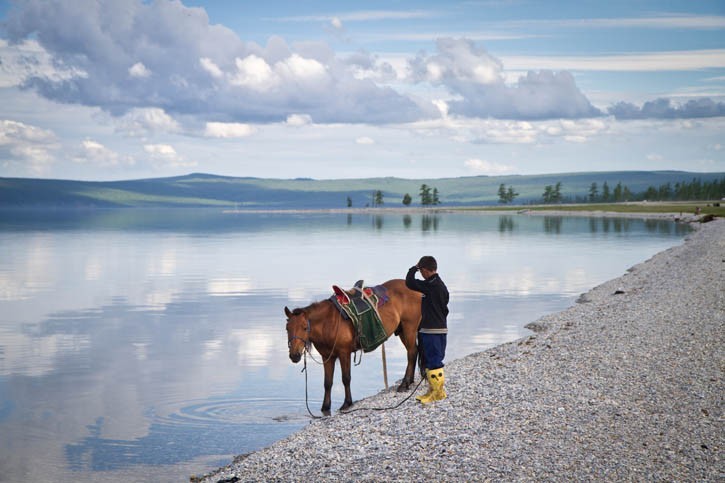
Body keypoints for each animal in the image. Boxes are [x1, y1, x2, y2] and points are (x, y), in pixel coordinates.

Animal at [282, 280, 418, 416]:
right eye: (287, 328)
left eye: (305, 328)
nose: (294, 355)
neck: (327, 323)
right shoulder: (327, 357)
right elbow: (327, 383)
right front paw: (325, 407)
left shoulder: (344, 353)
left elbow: (346, 378)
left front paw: (347, 403)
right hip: (402, 330)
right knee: (413, 352)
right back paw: (409, 381)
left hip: (409, 328)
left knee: (411, 353)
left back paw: (404, 384)